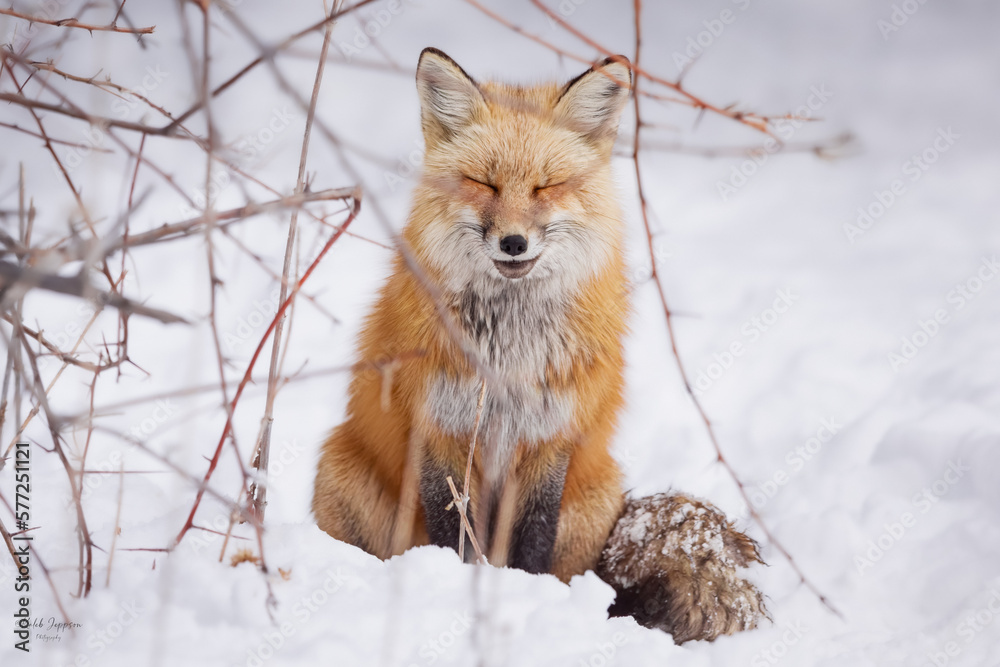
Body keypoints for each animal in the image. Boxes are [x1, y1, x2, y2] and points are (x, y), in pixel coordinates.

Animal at [313, 47, 765, 642]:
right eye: (483, 183)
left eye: (546, 187)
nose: (513, 242)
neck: (507, 355)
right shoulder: (441, 431)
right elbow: (452, 535)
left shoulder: (550, 437)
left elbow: (533, 540)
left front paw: (525, 596)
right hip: (340, 468)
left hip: (597, 497)